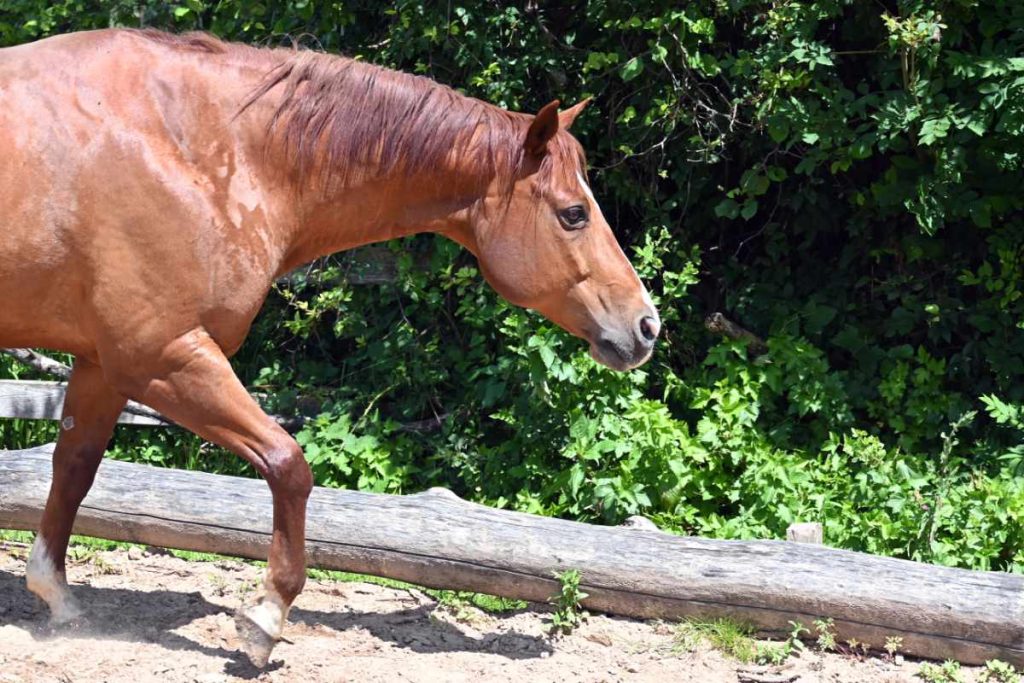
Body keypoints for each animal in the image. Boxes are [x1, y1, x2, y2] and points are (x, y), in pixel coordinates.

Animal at [0, 28, 660, 665]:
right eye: (573, 214)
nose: (646, 326)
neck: (198, 148)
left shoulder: (104, 364)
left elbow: (75, 467)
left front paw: (56, 596)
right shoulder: (162, 356)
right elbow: (289, 464)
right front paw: (266, 617)